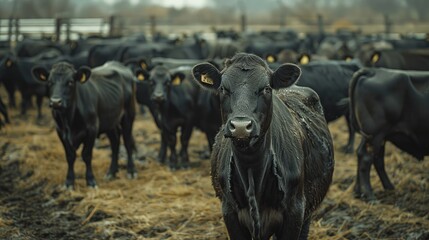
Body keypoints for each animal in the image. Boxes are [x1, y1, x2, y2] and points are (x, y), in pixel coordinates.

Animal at [191, 54, 334, 240]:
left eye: (266, 88)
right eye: (223, 88)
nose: (241, 126)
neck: (252, 171)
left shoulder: (295, 212)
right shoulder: (230, 212)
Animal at [348, 68, 428, 201]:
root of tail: (373, 71)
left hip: (375, 137)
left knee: (371, 157)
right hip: (376, 135)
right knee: (367, 158)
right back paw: (370, 195)